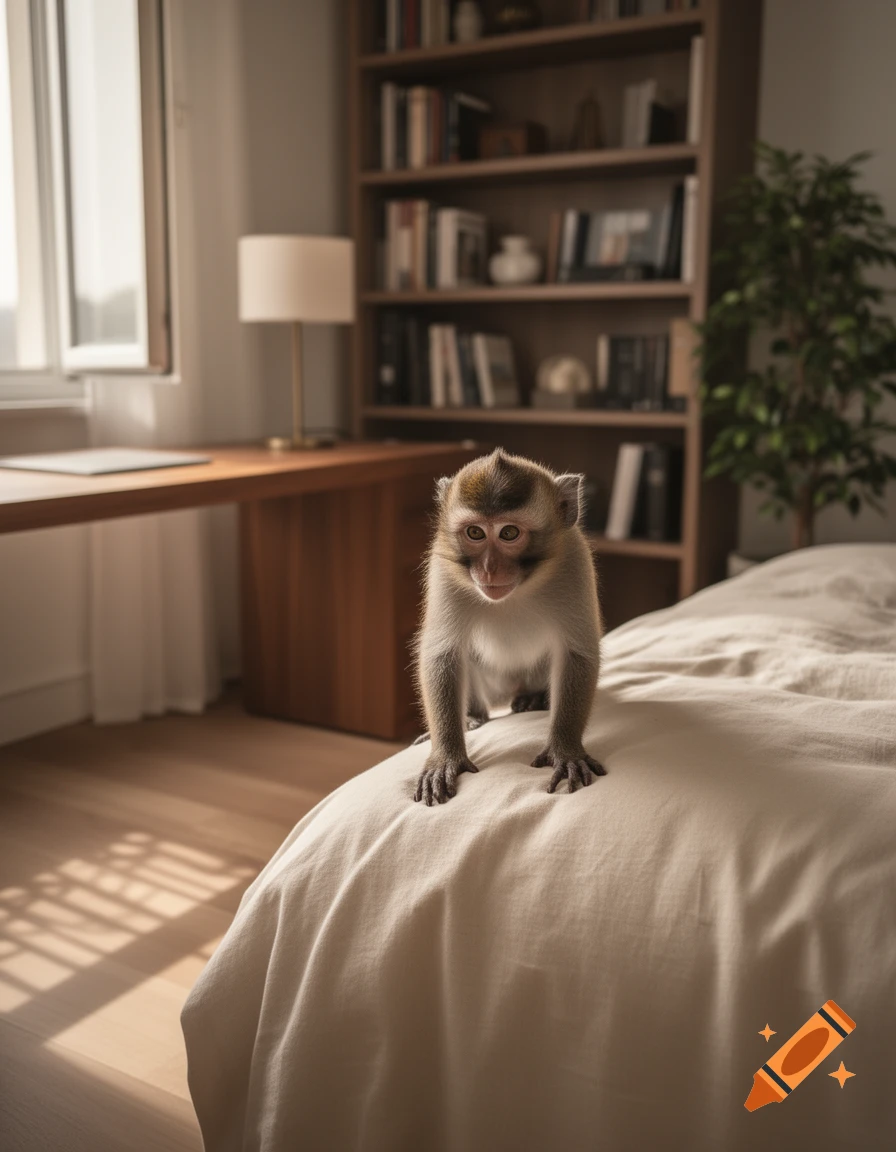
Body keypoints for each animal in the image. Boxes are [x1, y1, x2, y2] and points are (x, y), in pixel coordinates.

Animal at [413, 448, 605, 806]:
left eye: (509, 533)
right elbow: (443, 653)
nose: (490, 569)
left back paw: (534, 700)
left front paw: (566, 750)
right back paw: (473, 717)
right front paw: (445, 755)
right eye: (475, 533)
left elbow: (577, 654)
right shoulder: (443, 567)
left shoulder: (574, 560)